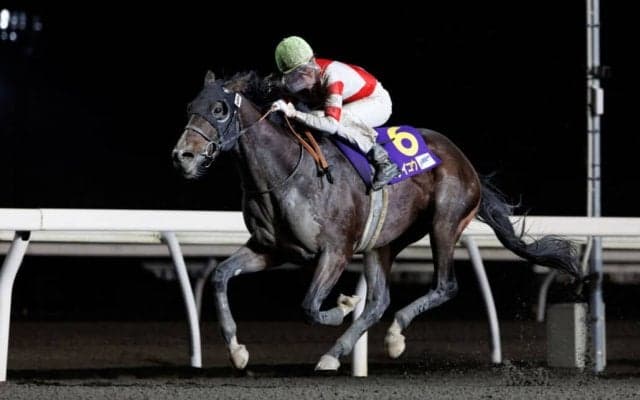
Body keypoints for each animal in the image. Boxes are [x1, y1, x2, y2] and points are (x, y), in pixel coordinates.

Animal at [171, 70, 580, 372]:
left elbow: (309, 306)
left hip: (444, 223)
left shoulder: (335, 251)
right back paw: (335, 354)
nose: (183, 156)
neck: (284, 173)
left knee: (444, 286)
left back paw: (394, 336)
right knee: (379, 301)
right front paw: (237, 351)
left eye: (220, 109)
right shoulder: (272, 249)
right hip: (383, 242)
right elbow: (221, 276)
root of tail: (464, 161)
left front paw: (342, 305)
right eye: (190, 106)